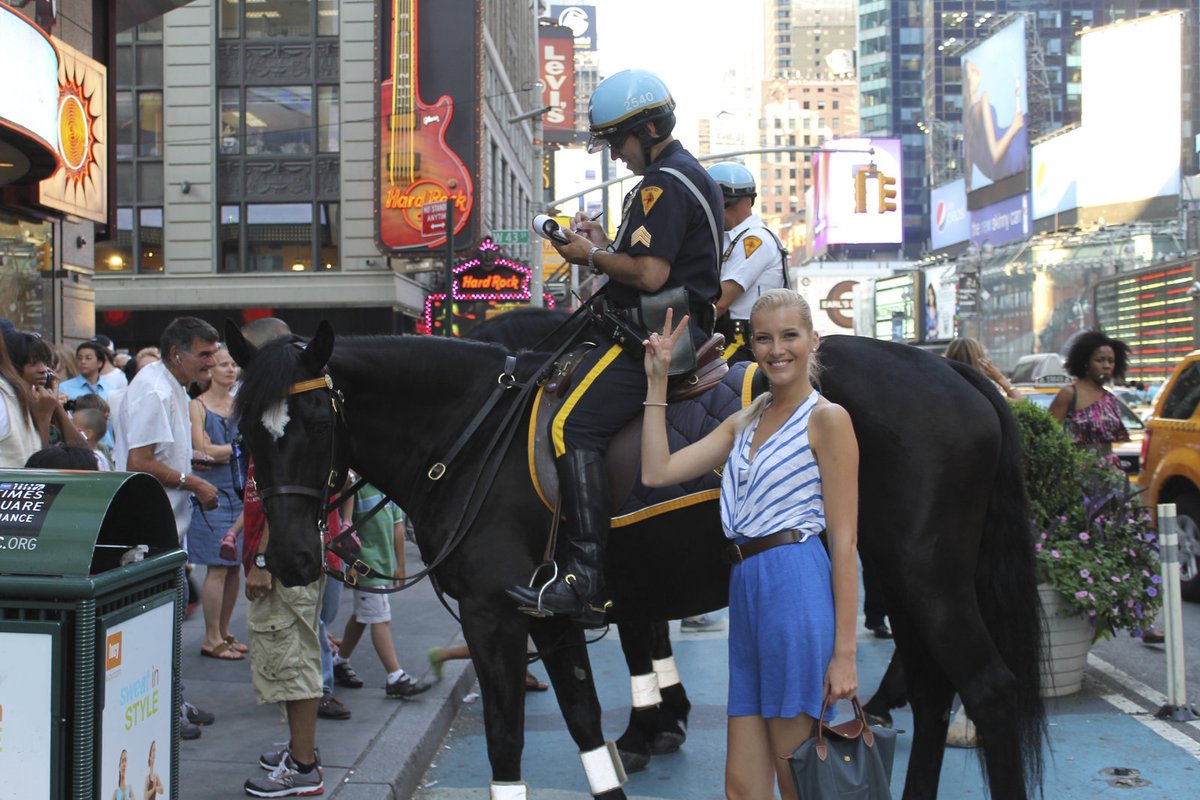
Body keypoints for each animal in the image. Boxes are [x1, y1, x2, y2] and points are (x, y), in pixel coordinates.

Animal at [225, 321, 1041, 800]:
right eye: (248, 432)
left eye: (317, 419)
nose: (289, 557)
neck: (469, 436)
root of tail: (957, 373)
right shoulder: (547, 615)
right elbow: (585, 721)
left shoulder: (494, 619)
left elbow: (506, 737)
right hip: (898, 577)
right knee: (933, 694)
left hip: (930, 579)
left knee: (992, 692)